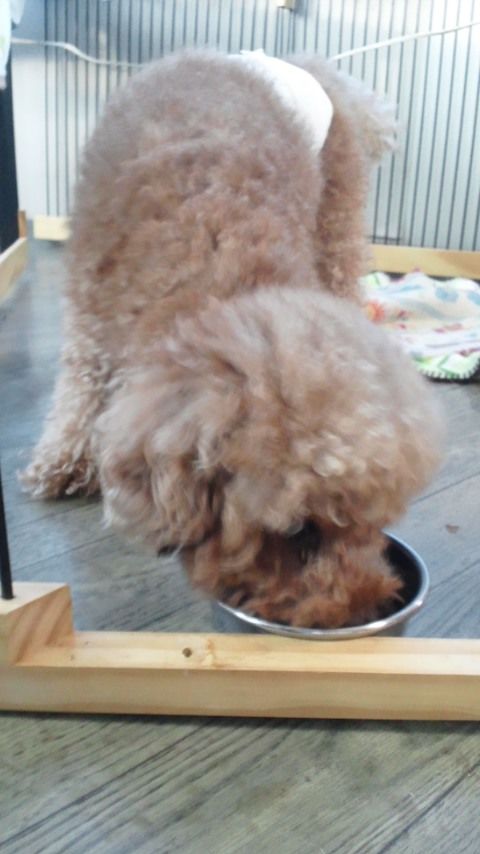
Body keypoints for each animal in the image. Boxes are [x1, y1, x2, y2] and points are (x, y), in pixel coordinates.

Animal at [23, 51, 443, 628]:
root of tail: (307, 64)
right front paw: (62, 462)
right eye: (299, 532)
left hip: (335, 207)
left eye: (376, 521)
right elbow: (79, 385)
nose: (365, 608)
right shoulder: (88, 304)